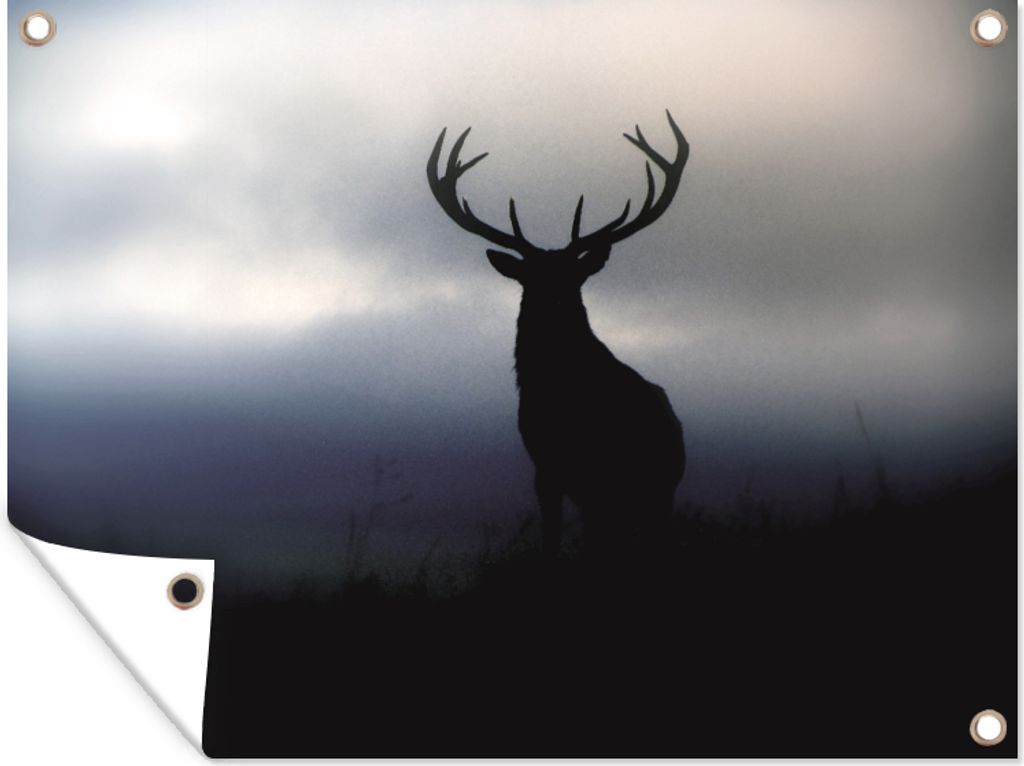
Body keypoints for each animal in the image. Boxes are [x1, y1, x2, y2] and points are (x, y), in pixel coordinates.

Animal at [427, 111, 688, 560]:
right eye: (530, 278)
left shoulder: (597, 470)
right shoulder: (545, 465)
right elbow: (551, 534)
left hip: (656, 488)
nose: (554, 302)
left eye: (573, 277)